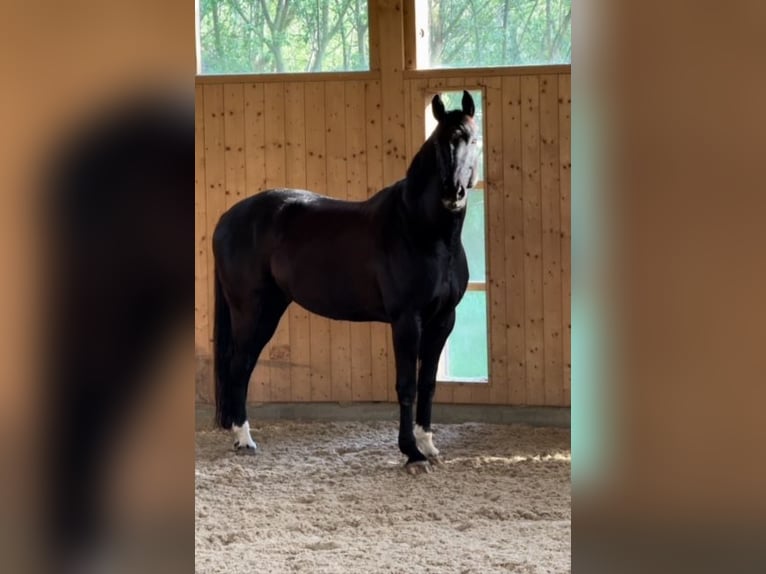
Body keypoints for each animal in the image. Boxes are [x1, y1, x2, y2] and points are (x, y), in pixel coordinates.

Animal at [214, 92, 480, 474]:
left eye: (472, 140)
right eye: (437, 143)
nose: (452, 193)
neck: (423, 231)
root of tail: (227, 219)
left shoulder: (443, 320)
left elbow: (428, 384)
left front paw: (428, 446)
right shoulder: (406, 321)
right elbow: (407, 385)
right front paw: (411, 453)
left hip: (270, 308)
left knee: (243, 367)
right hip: (252, 311)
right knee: (239, 367)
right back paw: (243, 440)